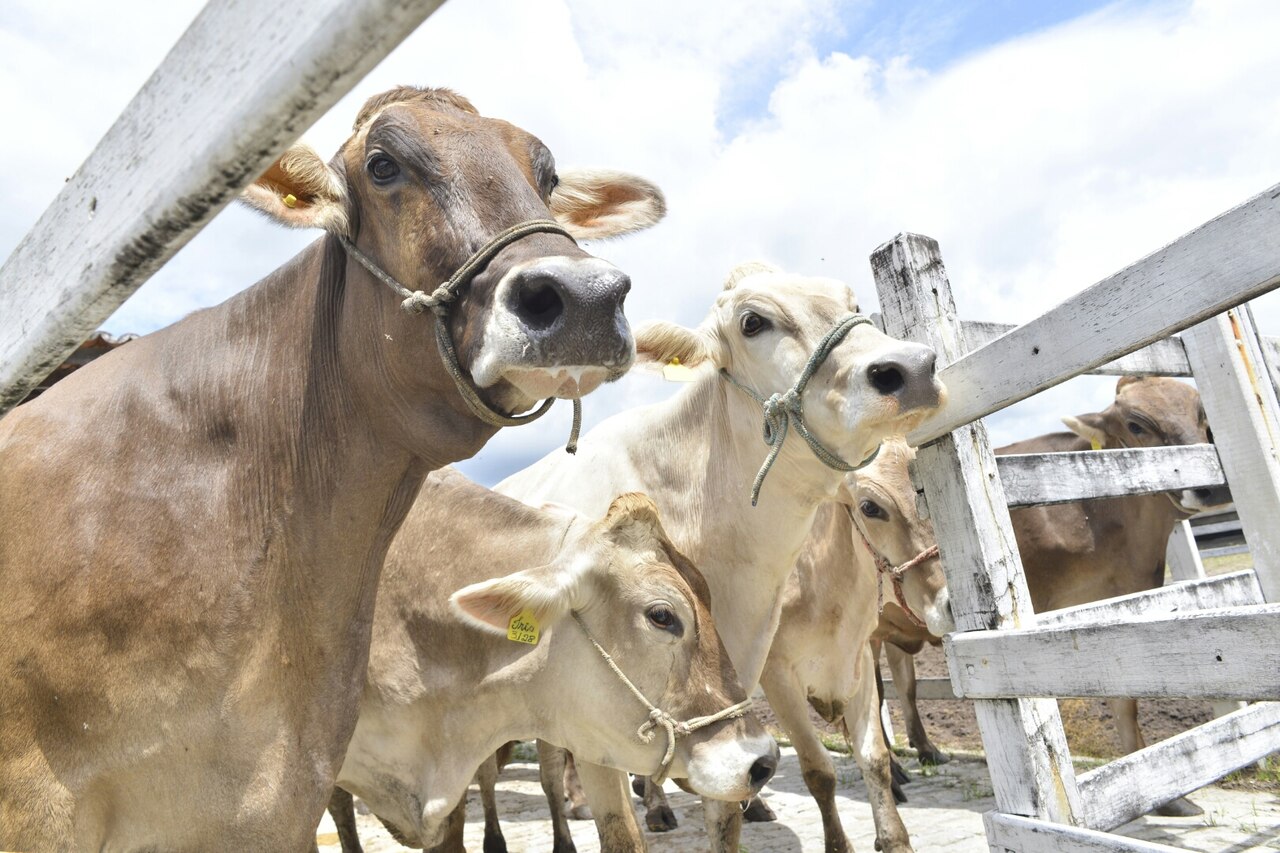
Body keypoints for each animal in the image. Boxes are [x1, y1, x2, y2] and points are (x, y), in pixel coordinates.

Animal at [494, 262, 947, 850]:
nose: (910, 368)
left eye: (852, 304)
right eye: (753, 322)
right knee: (545, 774)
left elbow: (735, 813)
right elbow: (620, 830)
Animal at [880, 376, 1228, 814]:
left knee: (901, 681)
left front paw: (1164, 795)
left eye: (1201, 416)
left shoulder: (1121, 603)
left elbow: (1126, 700)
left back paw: (925, 750)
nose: (1211, 488)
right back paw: (893, 770)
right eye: (1136, 424)